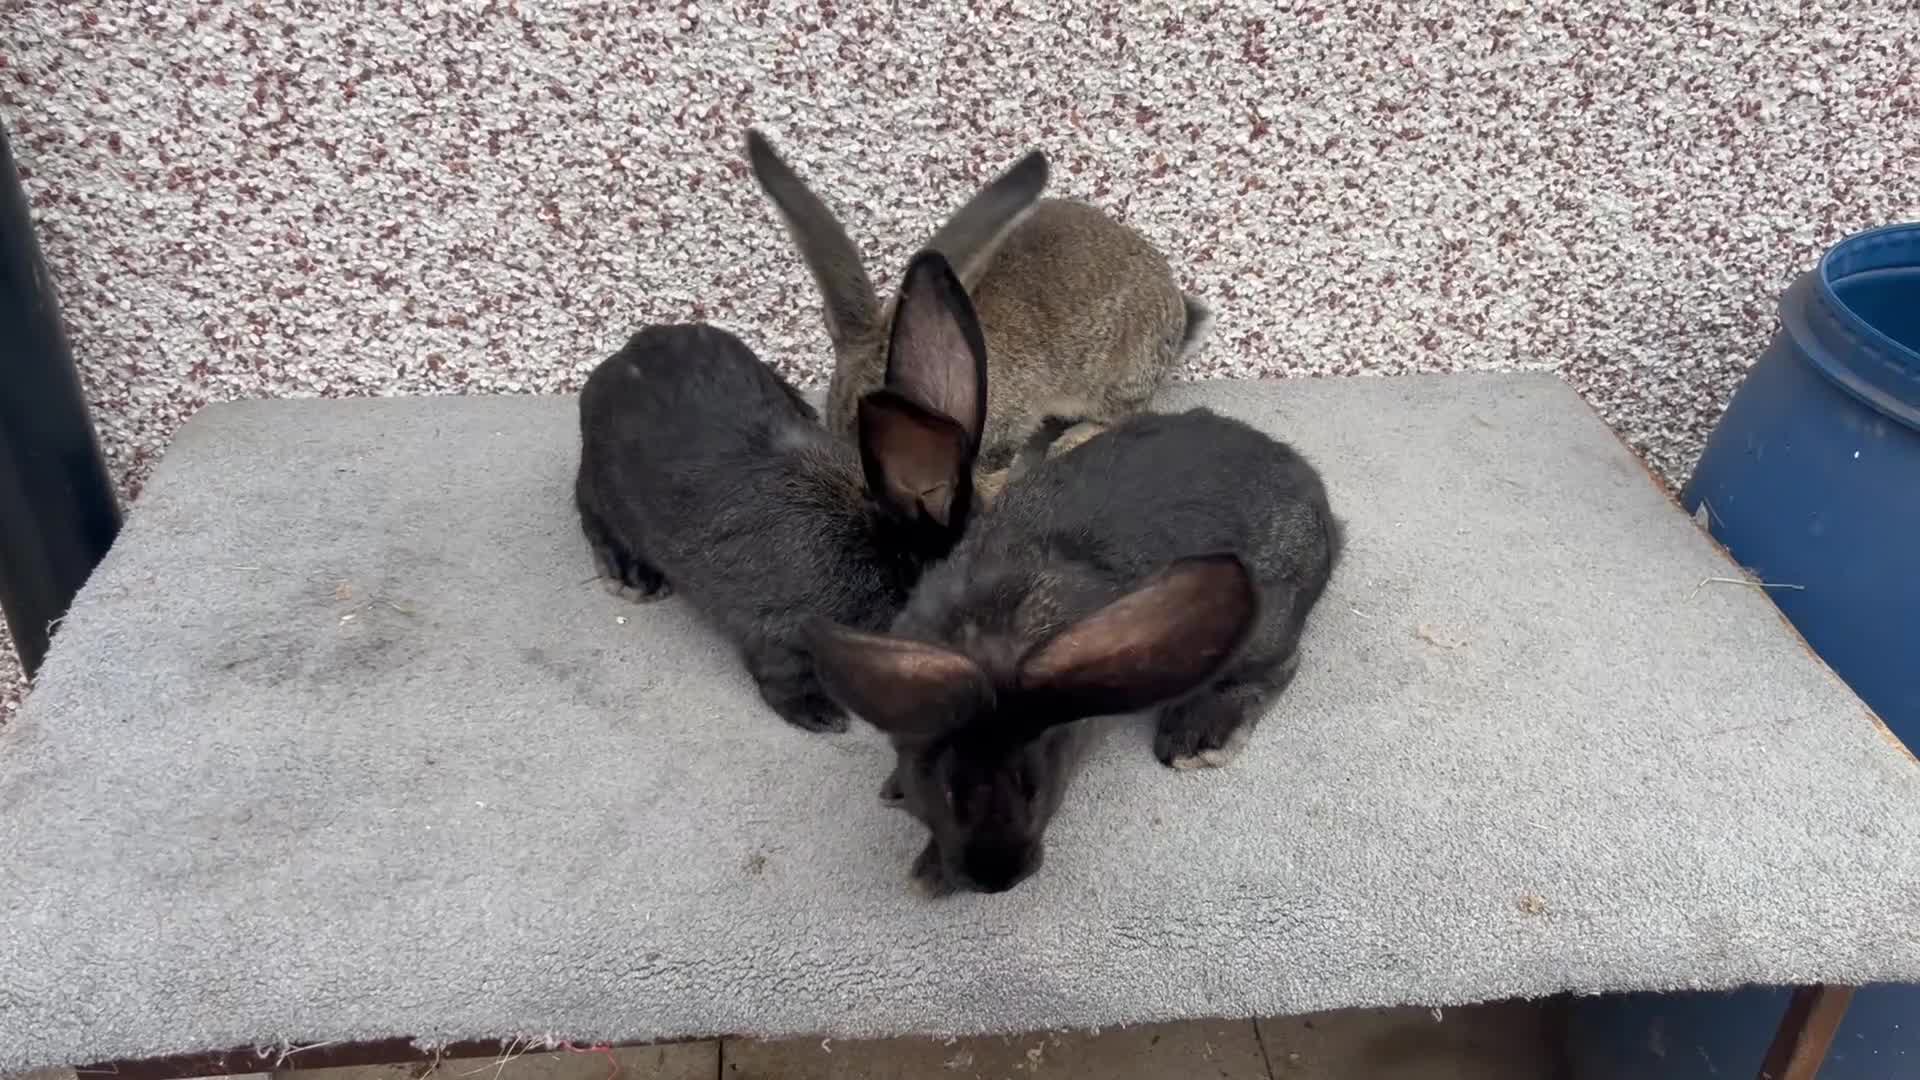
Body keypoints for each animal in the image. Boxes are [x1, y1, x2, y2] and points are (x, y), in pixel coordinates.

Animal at [574, 250, 988, 734]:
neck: (880, 546)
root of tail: (618, 361)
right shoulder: (779, 632)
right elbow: (783, 676)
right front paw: (821, 716)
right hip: (603, 488)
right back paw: (632, 576)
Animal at [809, 407, 1342, 895]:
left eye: (1034, 790)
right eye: (945, 792)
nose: (997, 881)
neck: (987, 634)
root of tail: (1325, 512)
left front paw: (930, 875)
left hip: (1260, 625)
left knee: (1279, 667)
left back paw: (1197, 737)